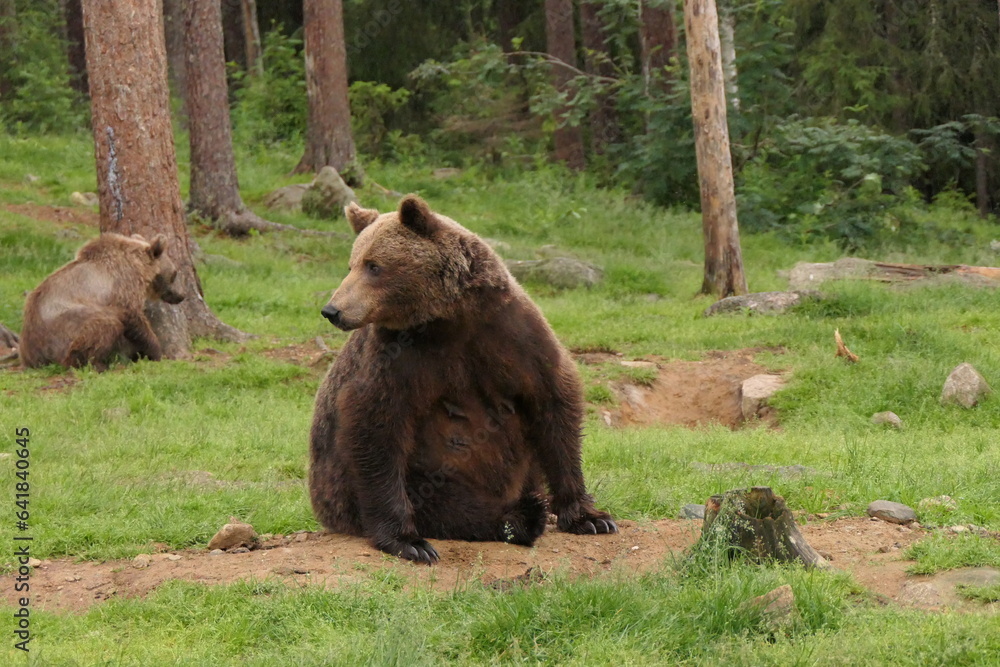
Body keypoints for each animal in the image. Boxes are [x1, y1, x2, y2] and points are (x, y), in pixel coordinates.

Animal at [19, 234, 186, 370]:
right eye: (175, 273)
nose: (181, 295)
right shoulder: (123, 287)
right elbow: (134, 319)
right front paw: (156, 352)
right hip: (64, 326)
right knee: (104, 325)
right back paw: (97, 364)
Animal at [308, 194, 616, 564]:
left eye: (373, 266)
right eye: (351, 264)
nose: (332, 310)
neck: (450, 316)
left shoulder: (512, 334)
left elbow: (554, 401)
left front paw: (591, 517)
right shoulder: (398, 358)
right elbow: (374, 424)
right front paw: (407, 540)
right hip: (419, 473)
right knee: (445, 502)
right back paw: (519, 517)